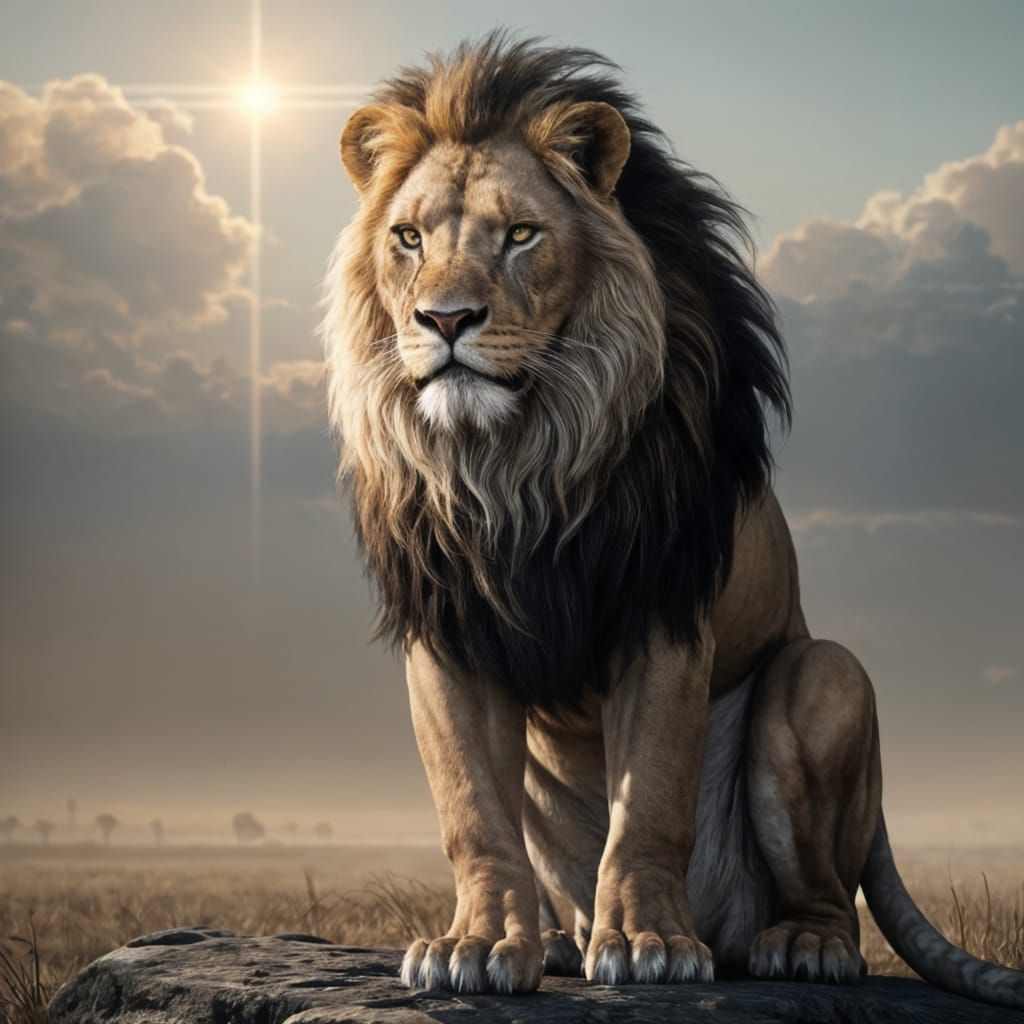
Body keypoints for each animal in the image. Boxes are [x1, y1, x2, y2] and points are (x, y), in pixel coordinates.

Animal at [321, 33, 1024, 1010]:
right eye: (409, 238)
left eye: (521, 235)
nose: (446, 319)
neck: (514, 460)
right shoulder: (448, 630)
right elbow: (472, 814)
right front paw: (479, 943)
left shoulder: (665, 611)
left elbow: (650, 800)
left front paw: (647, 941)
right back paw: (562, 941)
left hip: (825, 675)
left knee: (826, 893)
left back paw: (799, 946)